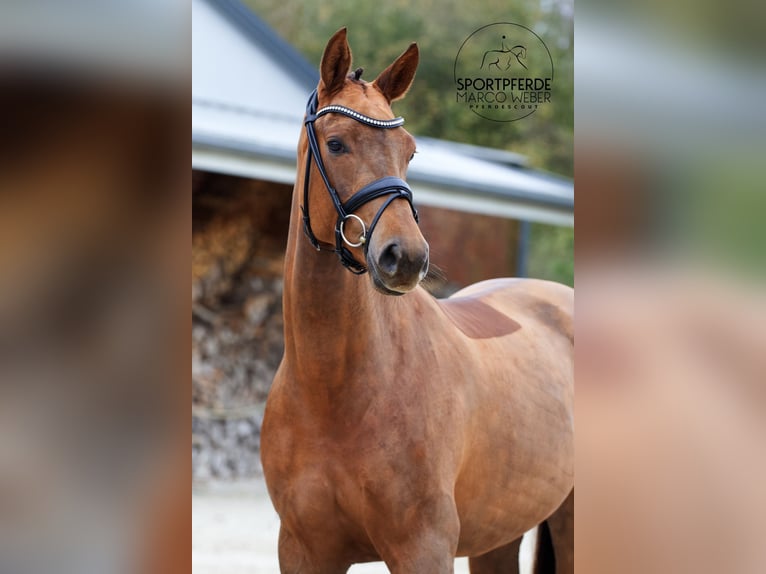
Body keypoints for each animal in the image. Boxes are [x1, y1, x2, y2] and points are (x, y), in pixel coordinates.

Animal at [260, 28, 572, 574]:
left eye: (409, 152)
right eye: (336, 144)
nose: (405, 258)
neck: (332, 390)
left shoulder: (422, 547)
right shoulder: (302, 551)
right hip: (497, 536)